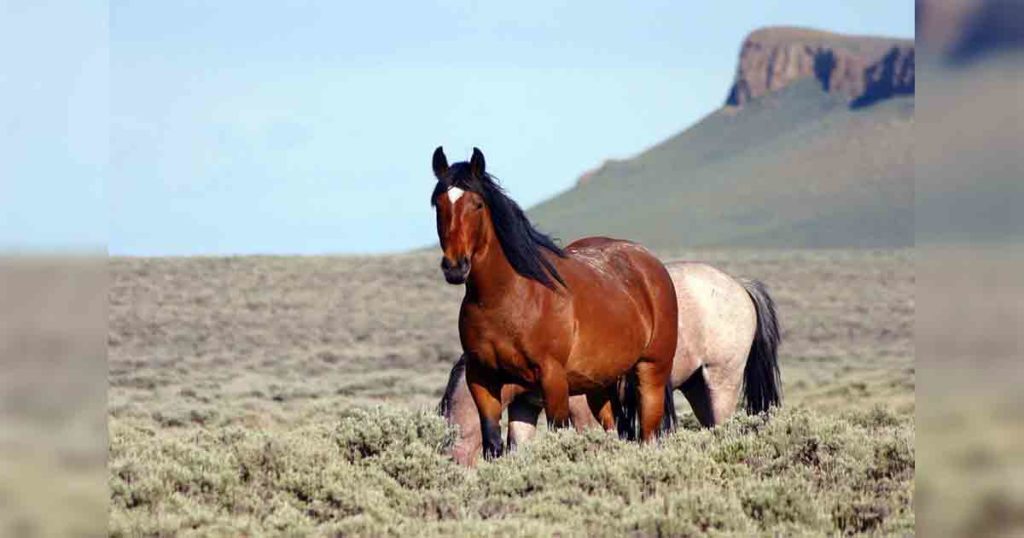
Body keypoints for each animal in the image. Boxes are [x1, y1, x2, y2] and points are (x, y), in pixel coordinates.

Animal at [430, 146, 679, 459]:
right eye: (438, 204)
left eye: (477, 204)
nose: (455, 267)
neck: (508, 298)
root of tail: (650, 263)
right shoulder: (484, 381)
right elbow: (495, 445)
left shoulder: (554, 381)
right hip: (600, 388)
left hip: (651, 374)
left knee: (647, 434)